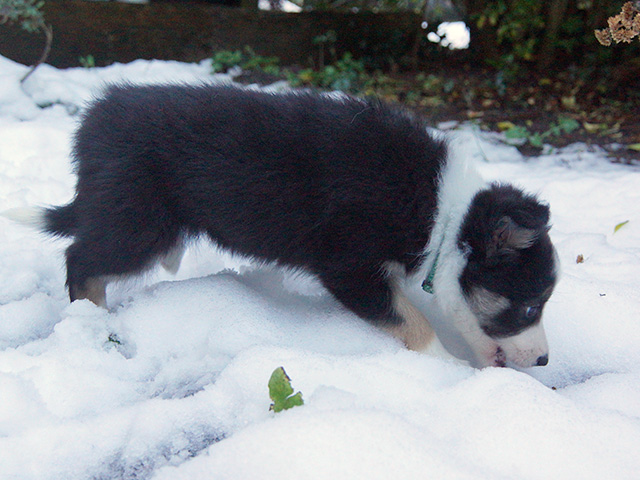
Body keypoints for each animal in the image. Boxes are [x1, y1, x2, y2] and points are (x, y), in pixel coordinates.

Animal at [14, 84, 559, 368]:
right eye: (531, 305)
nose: (545, 362)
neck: (444, 217)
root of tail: (91, 125)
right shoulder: (349, 266)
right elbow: (411, 321)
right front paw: (445, 368)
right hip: (139, 221)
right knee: (81, 259)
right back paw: (91, 322)